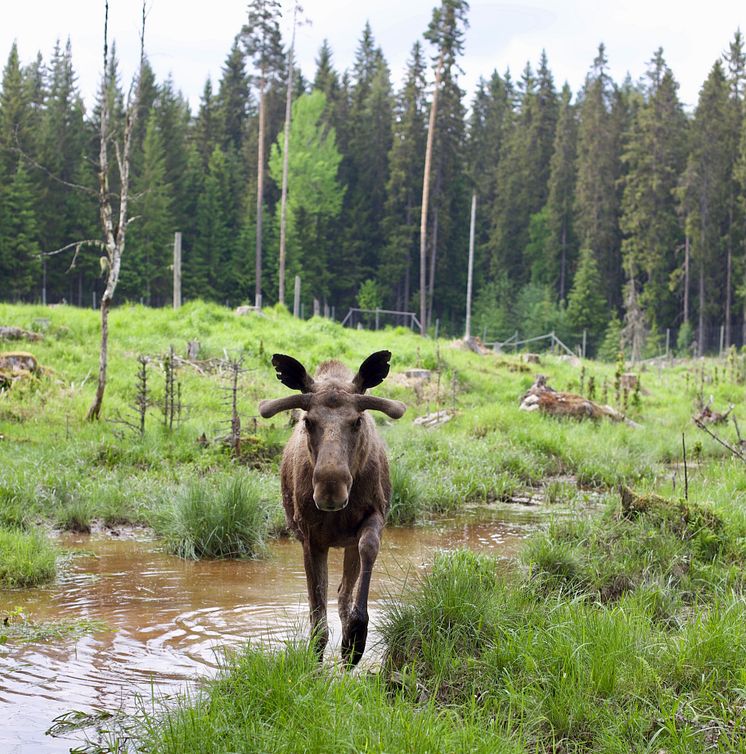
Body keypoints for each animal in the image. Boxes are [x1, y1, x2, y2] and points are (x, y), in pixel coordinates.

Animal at [258, 350, 404, 660]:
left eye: (357, 421)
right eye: (307, 421)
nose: (330, 490)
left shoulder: (374, 515)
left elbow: (368, 549)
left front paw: (356, 636)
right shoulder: (311, 537)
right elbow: (317, 616)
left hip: (347, 542)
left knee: (343, 591)